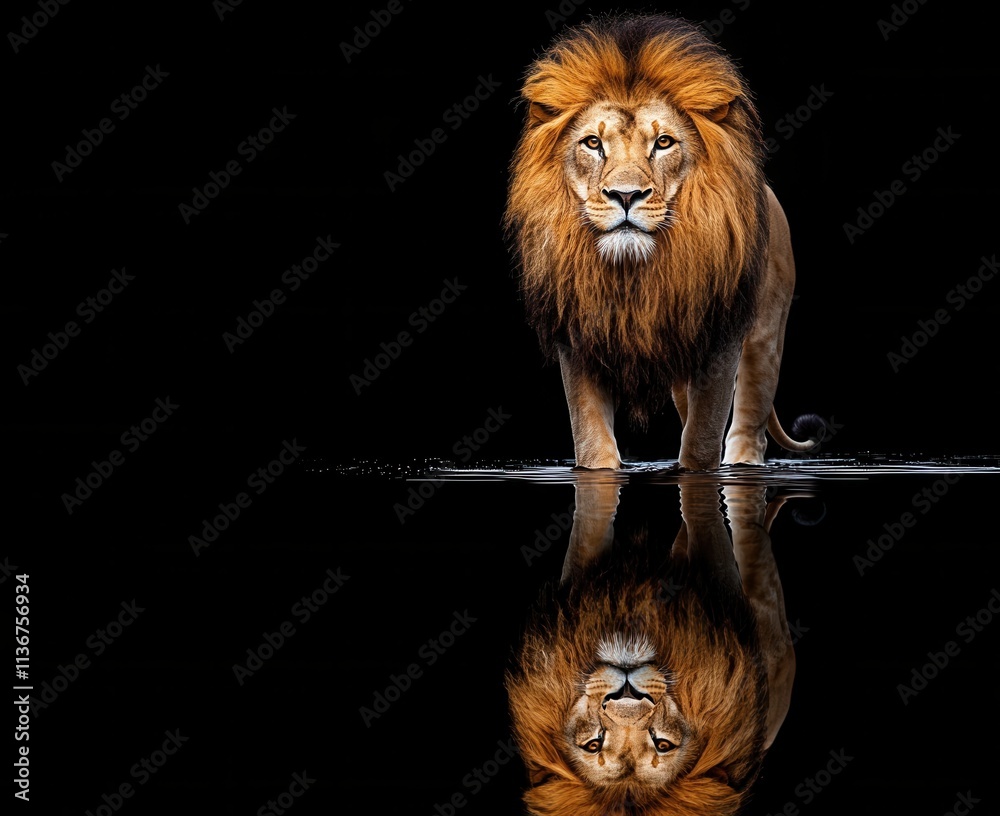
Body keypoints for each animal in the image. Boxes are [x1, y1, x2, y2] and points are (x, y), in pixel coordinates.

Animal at [505, 13, 820, 470]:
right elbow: (592, 439)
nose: (625, 195)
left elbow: (703, 441)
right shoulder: (578, 334)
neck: (634, 273)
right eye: (593, 143)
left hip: (764, 336)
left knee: (748, 424)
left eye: (664, 142)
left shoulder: (720, 338)